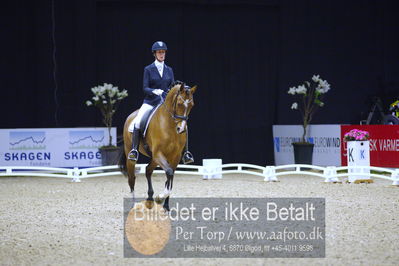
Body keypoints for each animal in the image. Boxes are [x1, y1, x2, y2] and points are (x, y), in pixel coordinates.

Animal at [121, 82, 198, 211]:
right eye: (179, 104)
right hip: (132, 155)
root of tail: (131, 116)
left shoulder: (175, 156)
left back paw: (150, 200)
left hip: (154, 159)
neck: (170, 125)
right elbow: (169, 173)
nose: (181, 129)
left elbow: (170, 176)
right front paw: (160, 198)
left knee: (148, 170)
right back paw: (134, 205)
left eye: (192, 105)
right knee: (131, 178)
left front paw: (165, 204)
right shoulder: (158, 154)